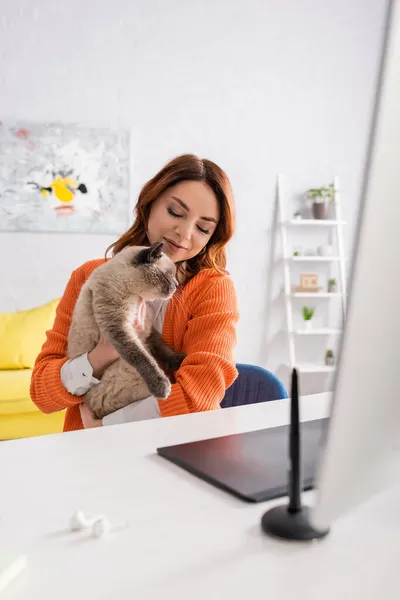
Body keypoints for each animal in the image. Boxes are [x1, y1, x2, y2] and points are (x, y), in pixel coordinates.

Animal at [67, 241, 186, 420]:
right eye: (169, 275)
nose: (177, 285)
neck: (134, 295)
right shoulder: (119, 328)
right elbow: (142, 358)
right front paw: (162, 386)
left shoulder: (147, 329)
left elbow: (163, 348)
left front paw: (178, 359)